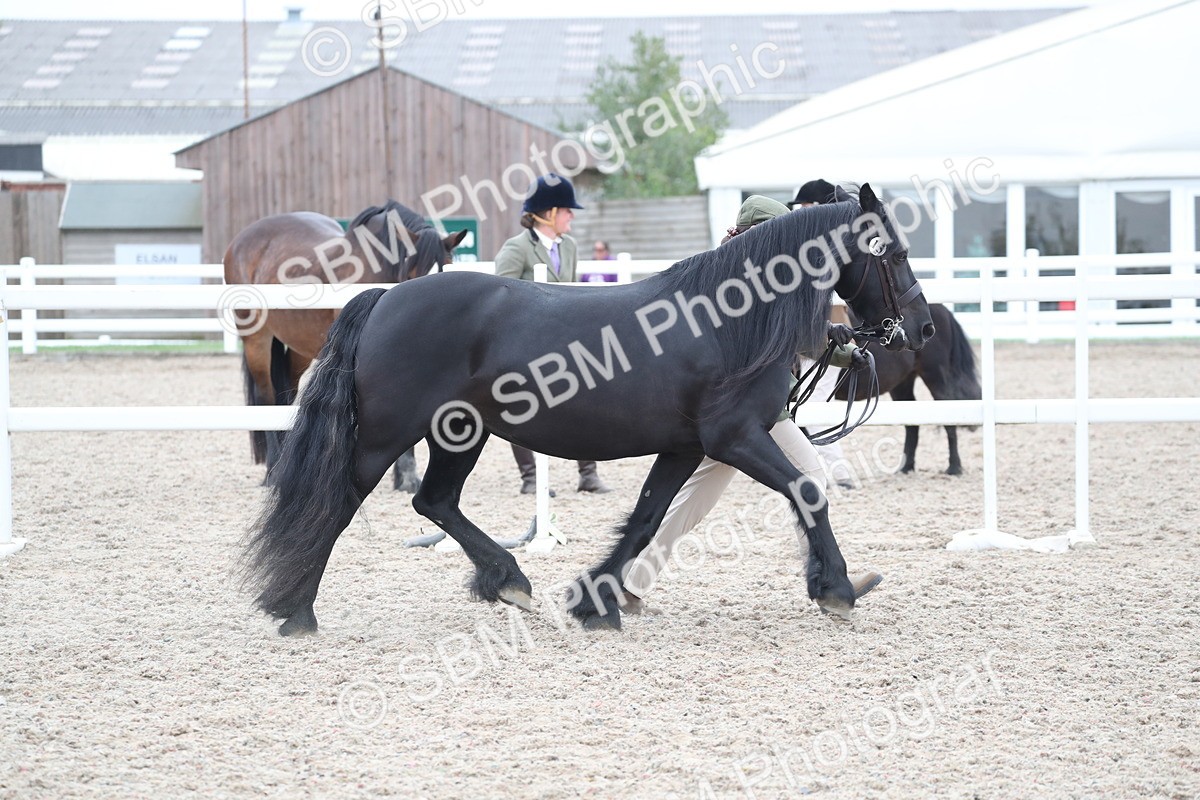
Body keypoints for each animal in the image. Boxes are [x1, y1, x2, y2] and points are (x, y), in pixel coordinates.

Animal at [222, 200, 466, 490]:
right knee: (265, 397)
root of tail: (240, 240)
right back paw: (272, 470)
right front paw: (404, 475)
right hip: (256, 339)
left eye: (449, 269)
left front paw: (404, 475)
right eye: (412, 273)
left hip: (299, 349)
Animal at [837, 303, 980, 474]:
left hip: (936, 378)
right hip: (902, 383)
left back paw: (954, 467)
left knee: (948, 419)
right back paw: (906, 467)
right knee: (912, 424)